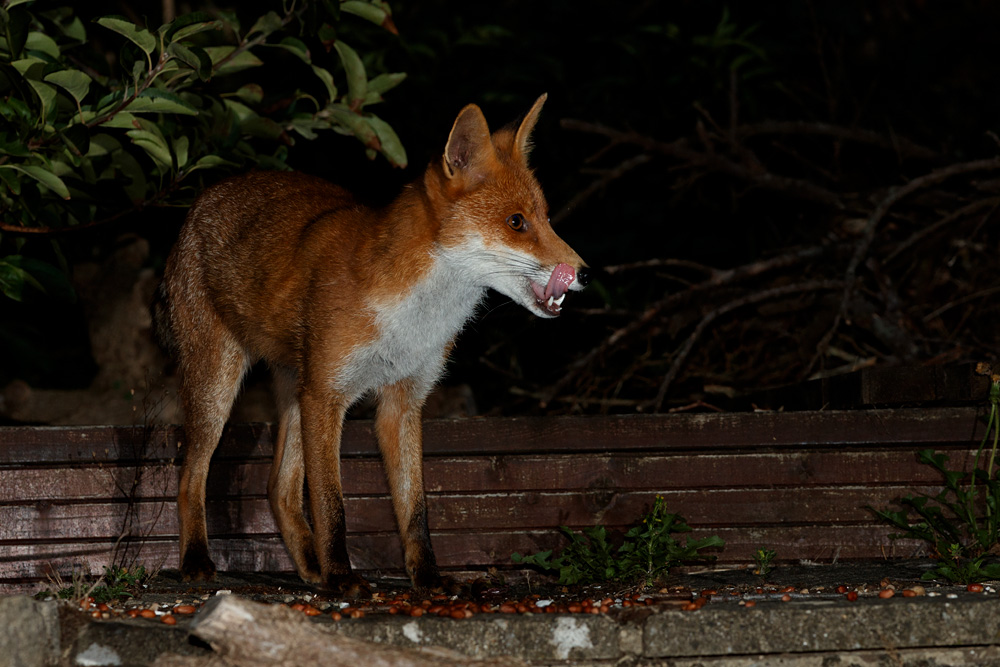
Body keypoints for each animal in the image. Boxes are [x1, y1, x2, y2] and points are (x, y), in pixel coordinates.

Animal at [153, 94, 589, 596]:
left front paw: (427, 579)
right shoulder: (328, 395)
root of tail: (206, 197)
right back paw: (197, 560)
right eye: (516, 222)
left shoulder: (403, 400)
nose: (582, 272)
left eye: (547, 218)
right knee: (191, 477)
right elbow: (332, 503)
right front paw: (343, 578)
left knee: (278, 489)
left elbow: (414, 509)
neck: (414, 318)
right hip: (220, 386)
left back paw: (311, 566)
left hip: (295, 389)